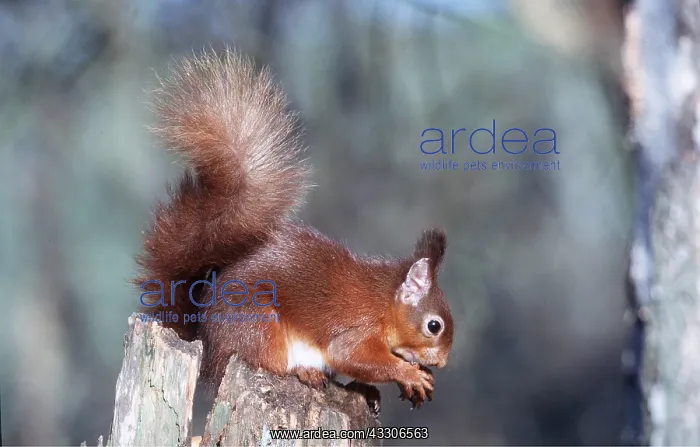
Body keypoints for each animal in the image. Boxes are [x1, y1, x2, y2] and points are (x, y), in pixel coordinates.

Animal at [134, 48, 454, 409]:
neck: (385, 302)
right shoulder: (358, 330)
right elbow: (353, 357)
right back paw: (303, 370)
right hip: (258, 326)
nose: (442, 362)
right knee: (266, 362)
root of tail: (206, 348)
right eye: (434, 326)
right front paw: (409, 374)